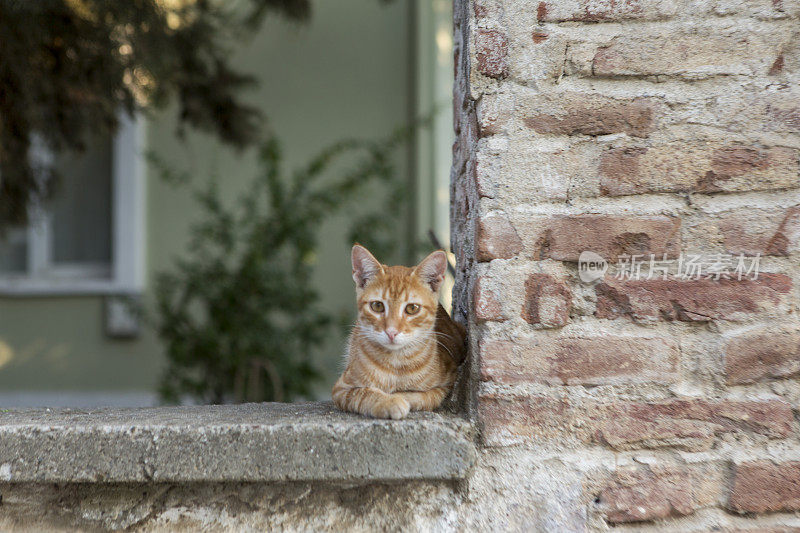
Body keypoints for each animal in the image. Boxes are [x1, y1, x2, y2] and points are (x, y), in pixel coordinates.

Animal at [332, 243, 468, 418]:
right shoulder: (341, 389)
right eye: (377, 306)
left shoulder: (447, 384)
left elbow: (423, 396)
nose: (391, 331)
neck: (396, 363)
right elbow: (363, 393)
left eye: (412, 308)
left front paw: (399, 396)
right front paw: (388, 401)